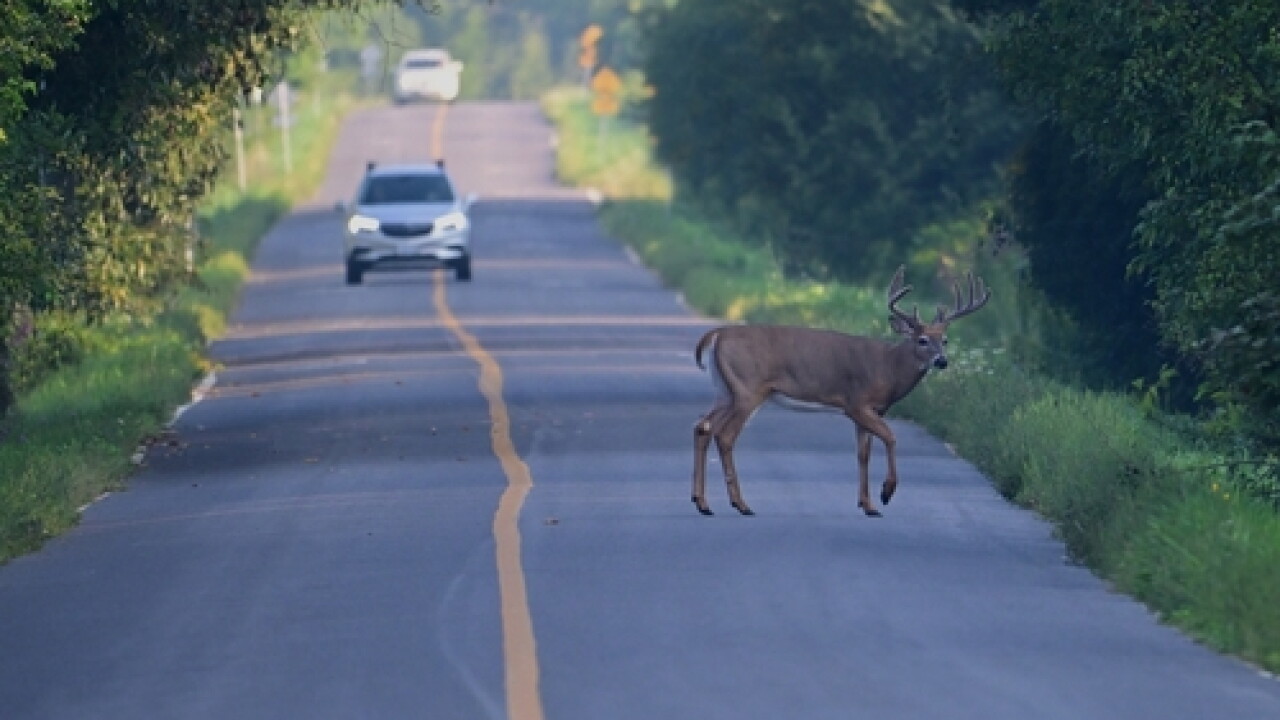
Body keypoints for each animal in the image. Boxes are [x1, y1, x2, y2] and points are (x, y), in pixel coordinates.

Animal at [691, 266, 990, 517]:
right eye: (923, 340)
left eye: (945, 340)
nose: (942, 361)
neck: (889, 368)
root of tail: (716, 335)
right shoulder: (856, 403)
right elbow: (890, 437)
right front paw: (886, 493)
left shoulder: (871, 411)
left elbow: (863, 454)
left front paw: (868, 505)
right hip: (748, 389)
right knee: (725, 436)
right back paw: (741, 504)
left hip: (726, 391)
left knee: (703, 427)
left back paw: (702, 503)